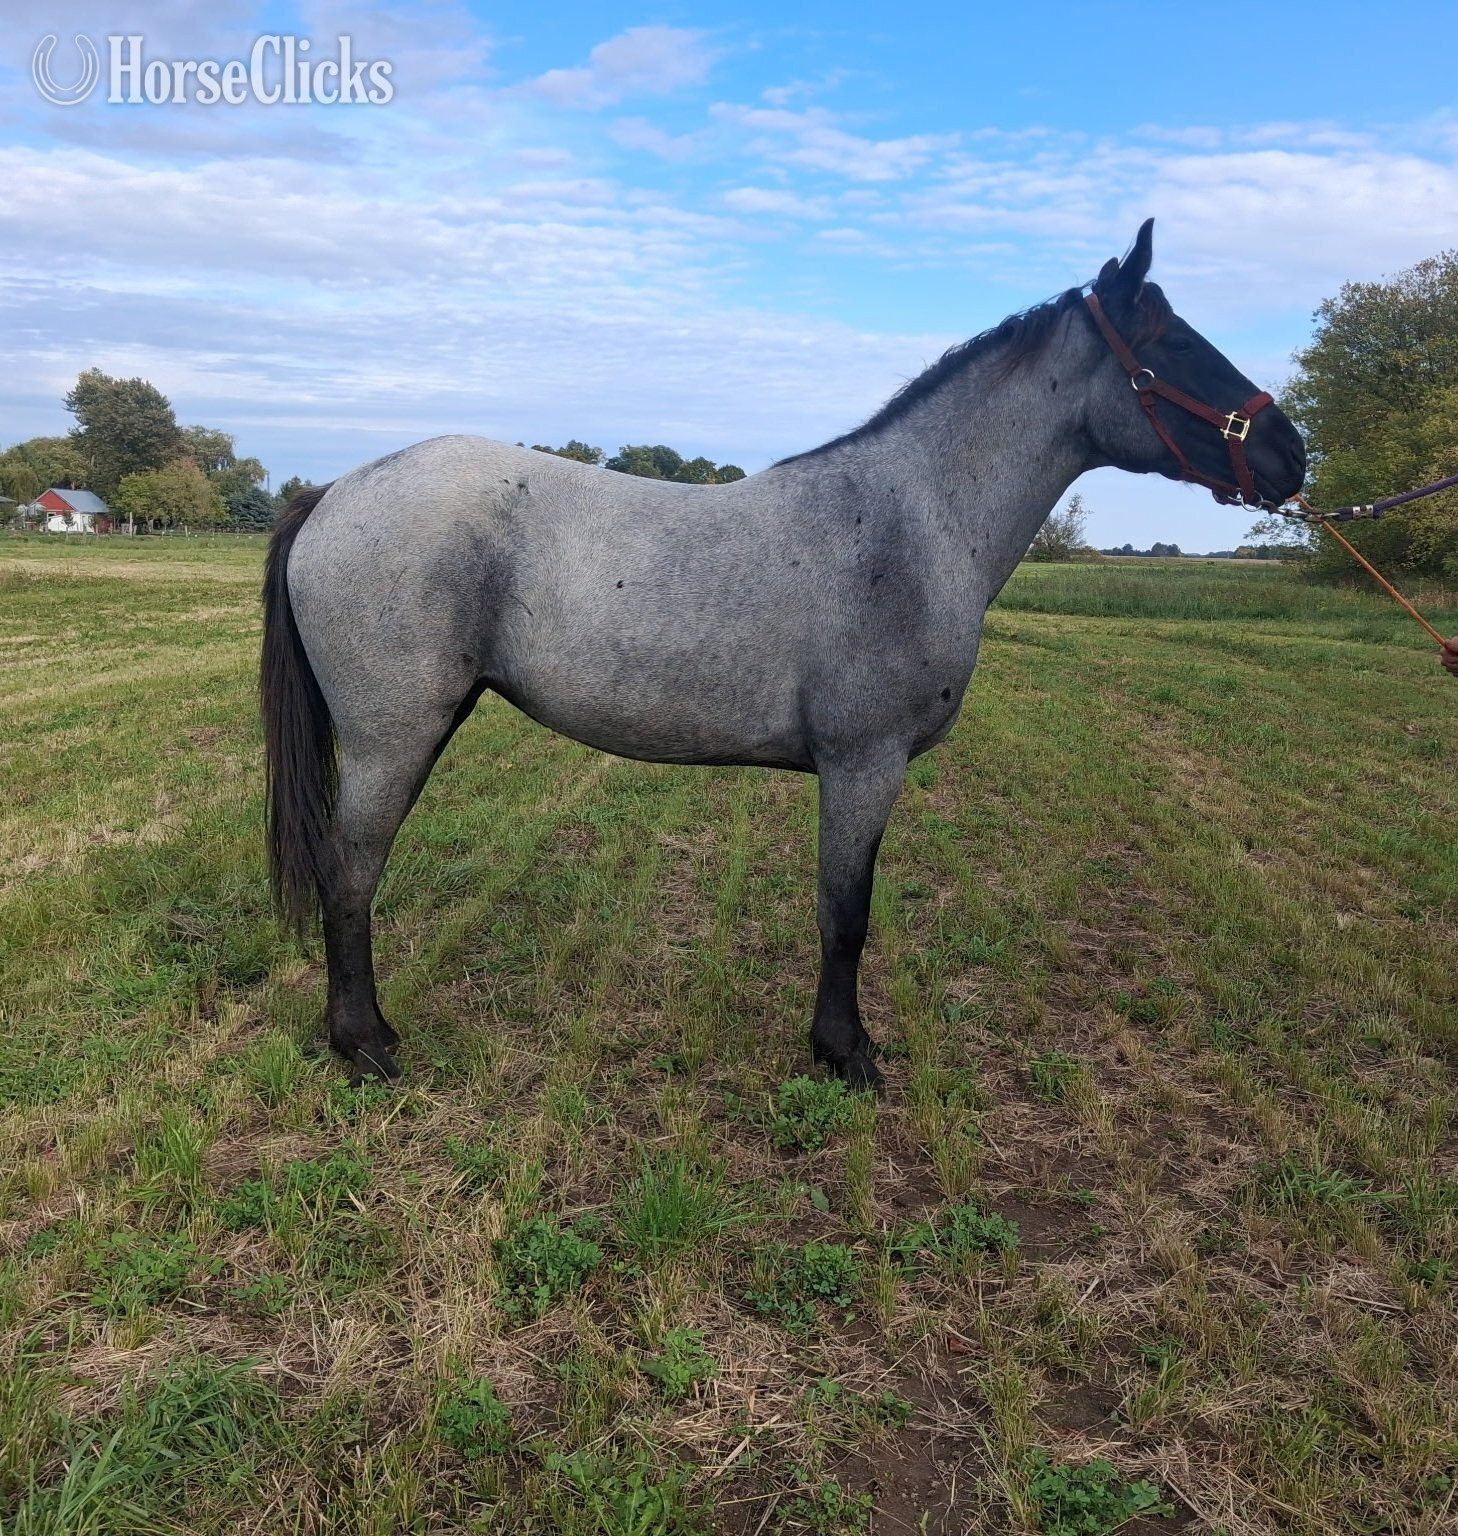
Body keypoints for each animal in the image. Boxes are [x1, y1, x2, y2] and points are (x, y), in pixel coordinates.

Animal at [261, 219, 1306, 1086]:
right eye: (1173, 343)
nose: (1291, 450)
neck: (909, 522)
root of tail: (335, 490)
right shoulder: (863, 764)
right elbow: (846, 916)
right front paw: (846, 1054)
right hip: (395, 736)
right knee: (351, 870)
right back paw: (365, 1045)